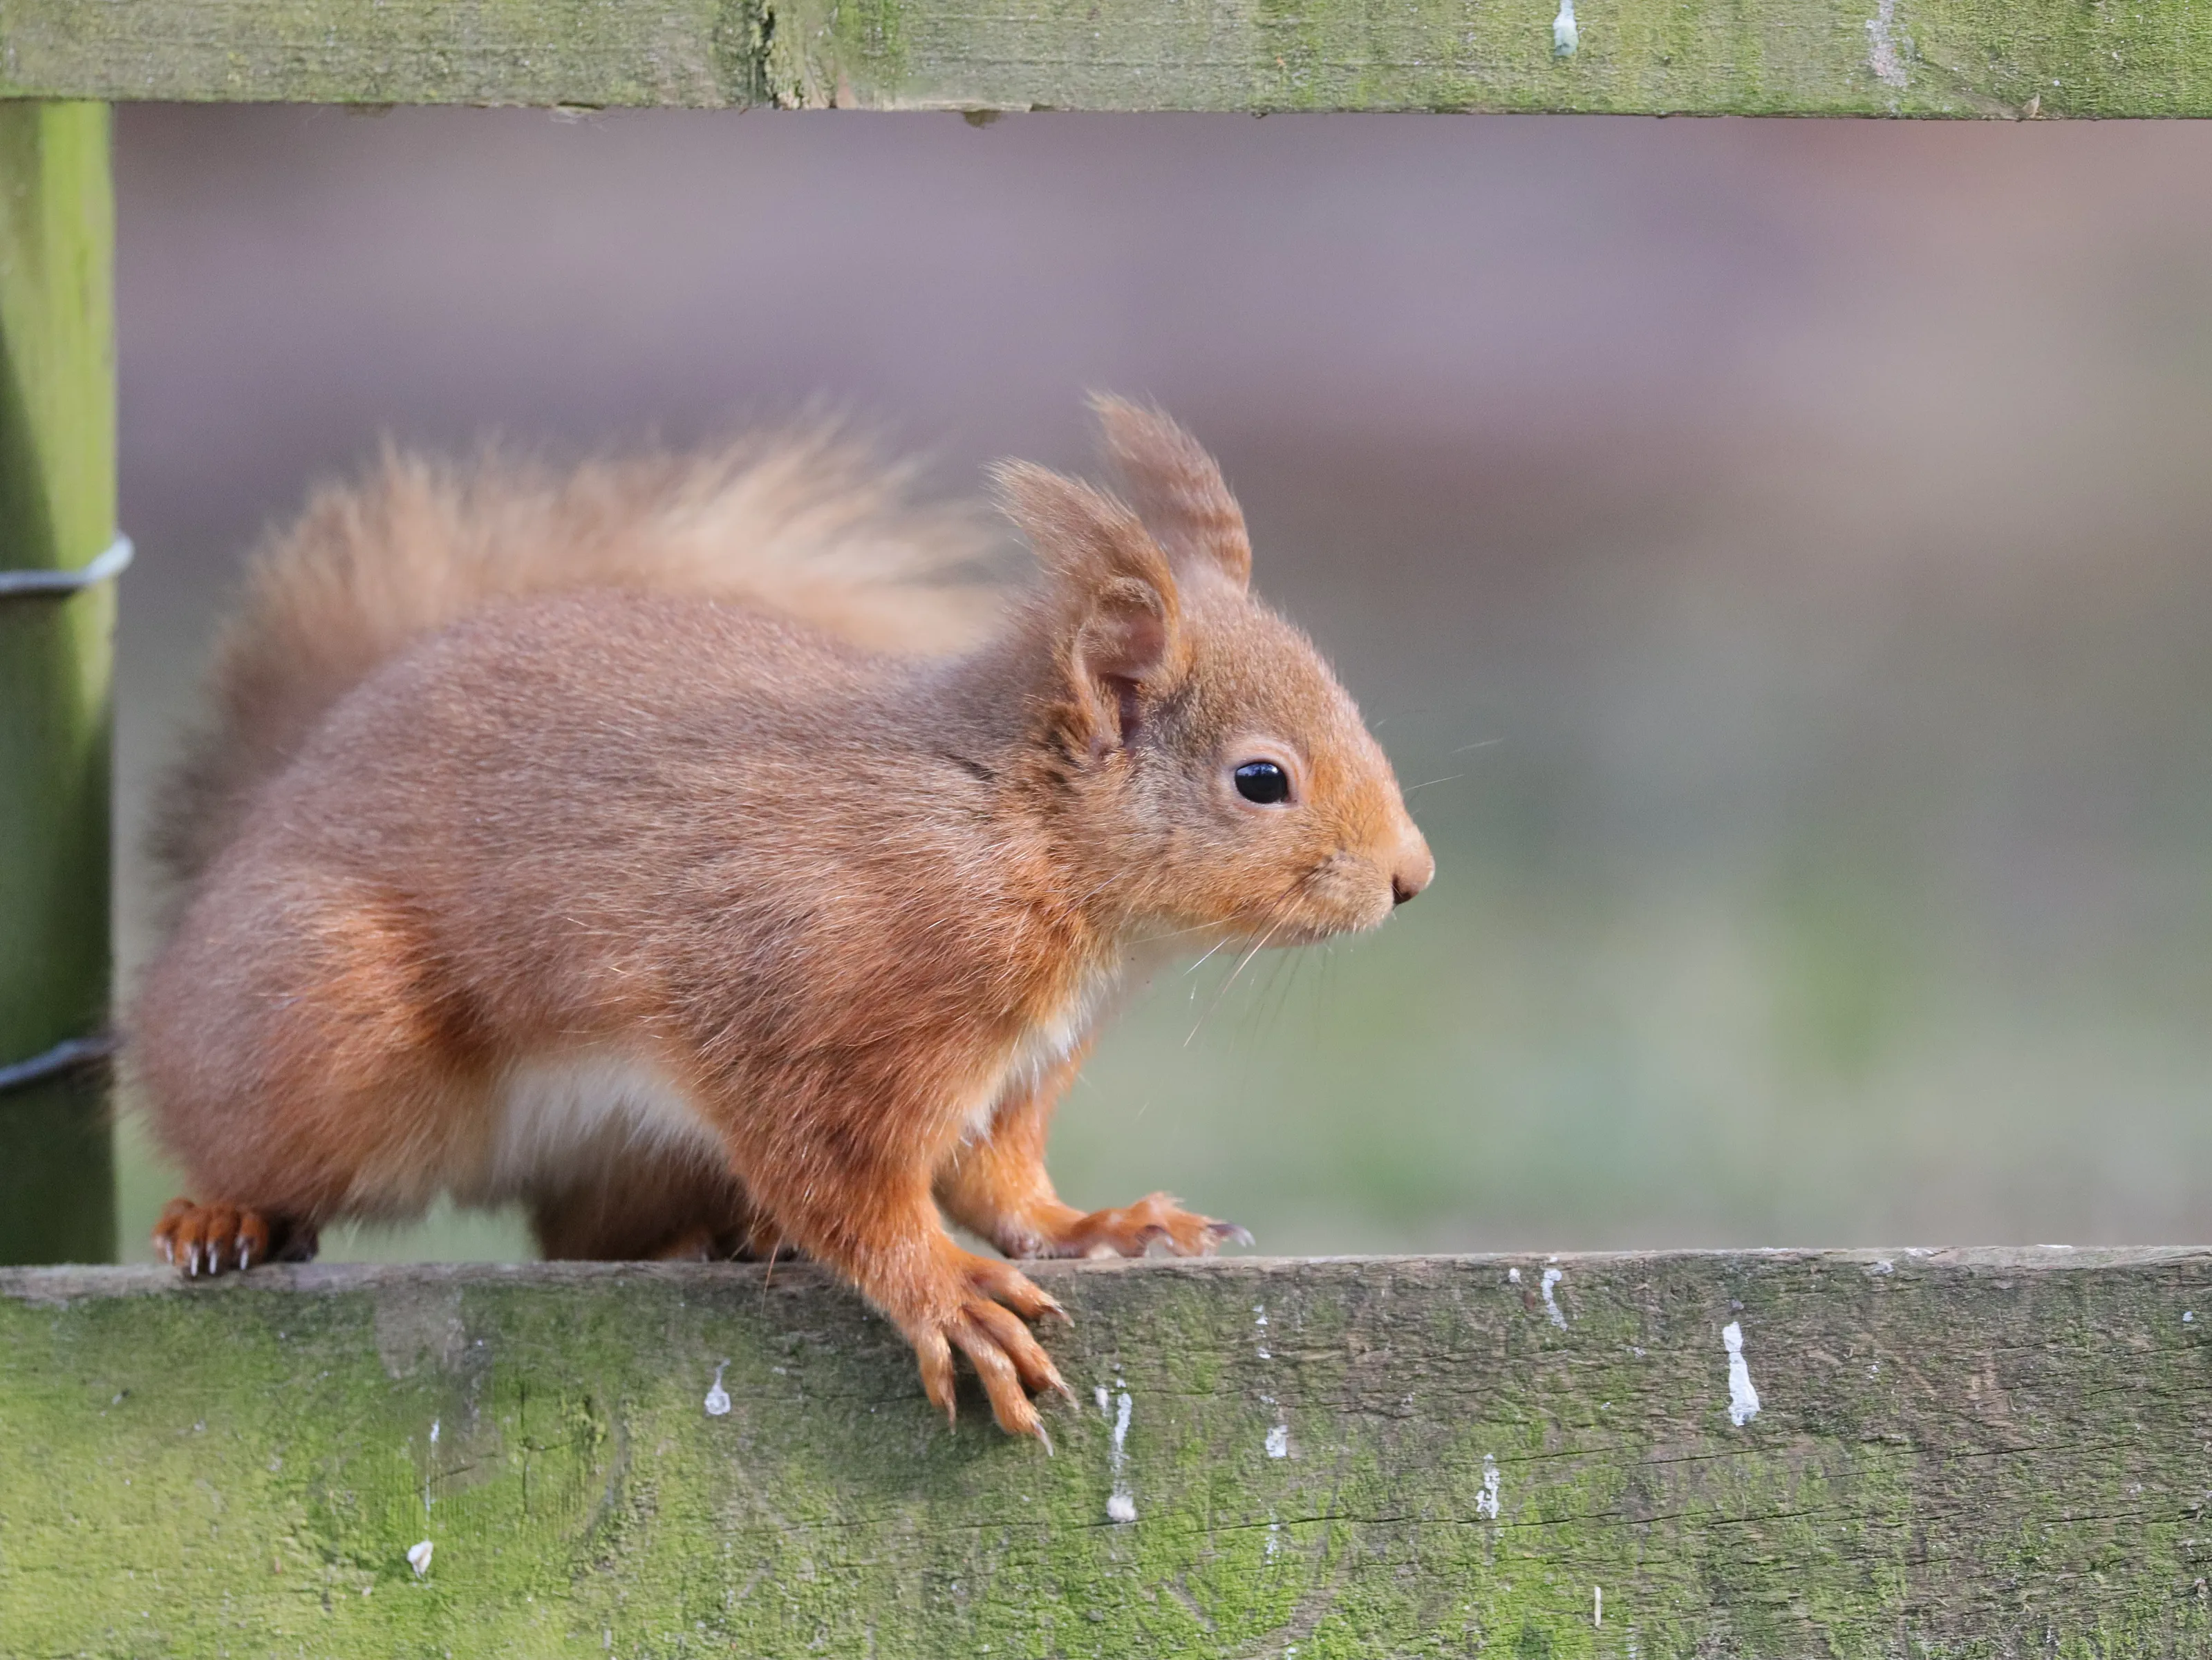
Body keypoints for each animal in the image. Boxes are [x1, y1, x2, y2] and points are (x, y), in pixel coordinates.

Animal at [131, 398, 1433, 1441]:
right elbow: (840, 1177)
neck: (1020, 838)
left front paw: (1100, 1224)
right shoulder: (810, 1000)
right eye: (1260, 779)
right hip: (330, 1023)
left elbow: (1002, 1186)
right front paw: (946, 1293)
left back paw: (722, 1239)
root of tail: (251, 828)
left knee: (584, 1234)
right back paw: (224, 1213)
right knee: (247, 1129)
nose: (1411, 878)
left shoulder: (1016, 1073)